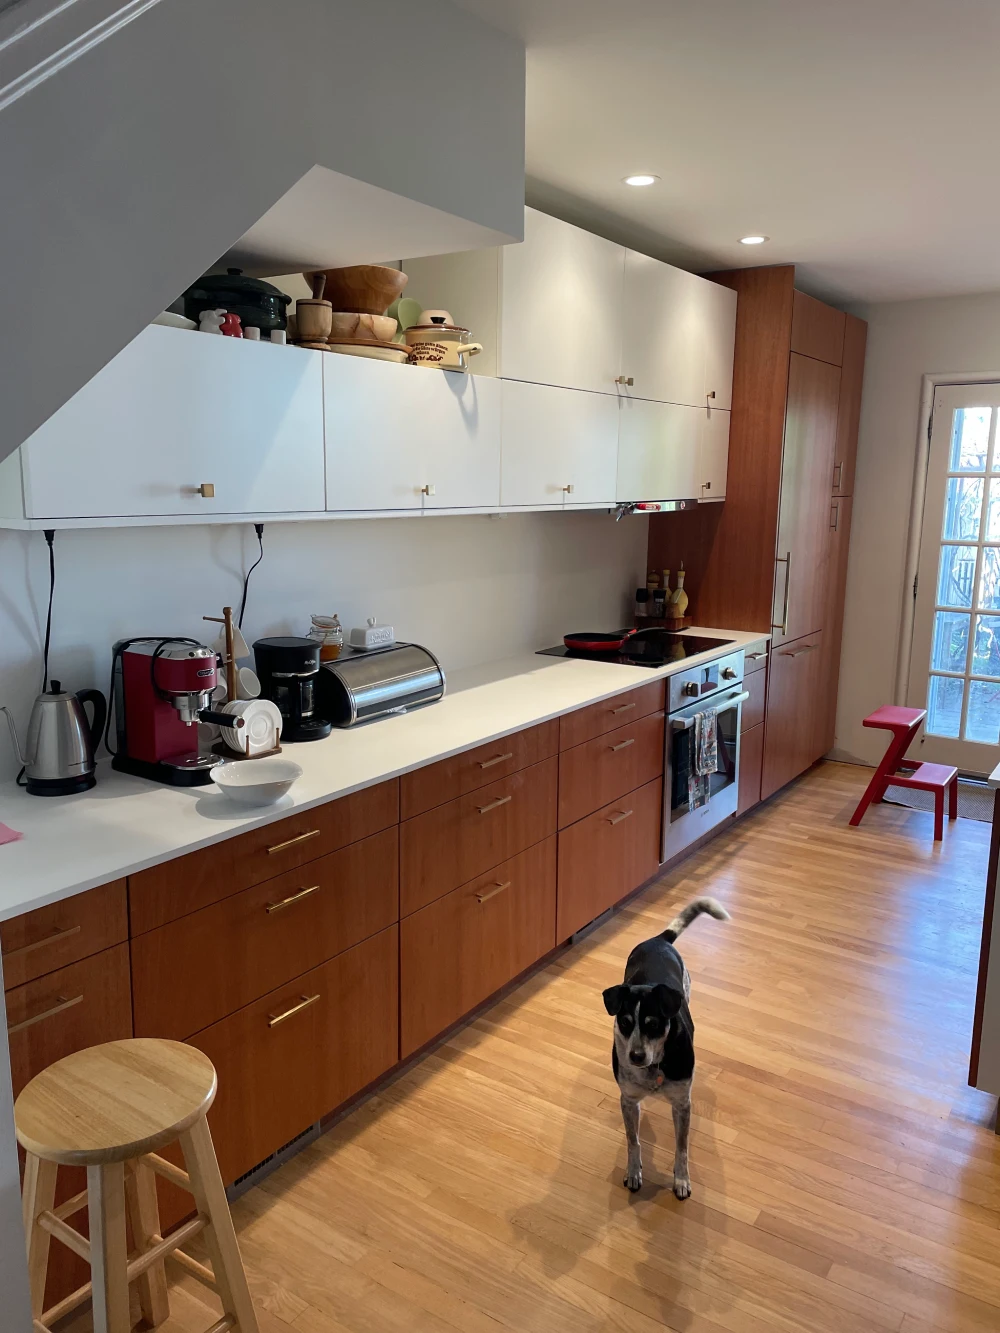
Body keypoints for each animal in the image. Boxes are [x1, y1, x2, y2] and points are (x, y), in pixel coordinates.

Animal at [602, 895, 730, 1199]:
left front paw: (681, 1180)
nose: (635, 1056)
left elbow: (681, 1148)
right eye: (624, 1023)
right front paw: (634, 1173)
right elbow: (633, 1141)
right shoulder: (629, 1100)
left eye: (654, 1024)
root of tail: (658, 939)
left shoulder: (682, 1104)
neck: (654, 1066)